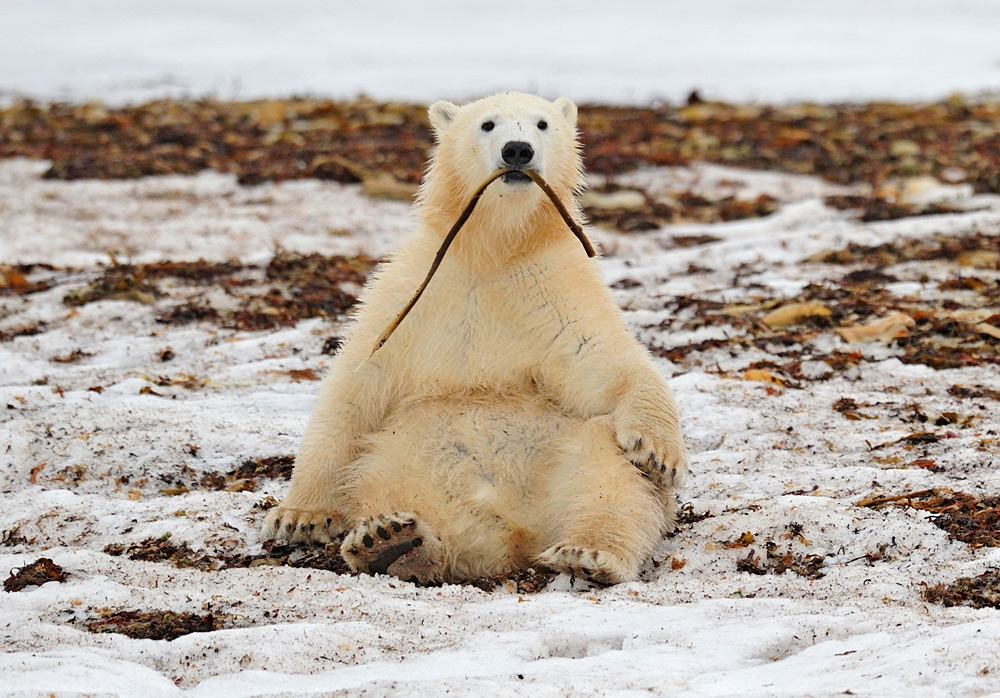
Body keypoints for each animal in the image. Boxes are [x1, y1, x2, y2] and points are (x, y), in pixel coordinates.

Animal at [262, 92, 688, 580]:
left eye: (543, 123)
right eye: (487, 124)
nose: (518, 150)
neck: (493, 249)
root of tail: (514, 530)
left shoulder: (555, 291)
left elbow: (603, 360)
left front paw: (659, 453)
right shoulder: (413, 292)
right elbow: (356, 386)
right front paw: (299, 517)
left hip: (566, 453)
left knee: (611, 481)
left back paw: (588, 554)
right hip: (406, 460)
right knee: (394, 494)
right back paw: (390, 539)